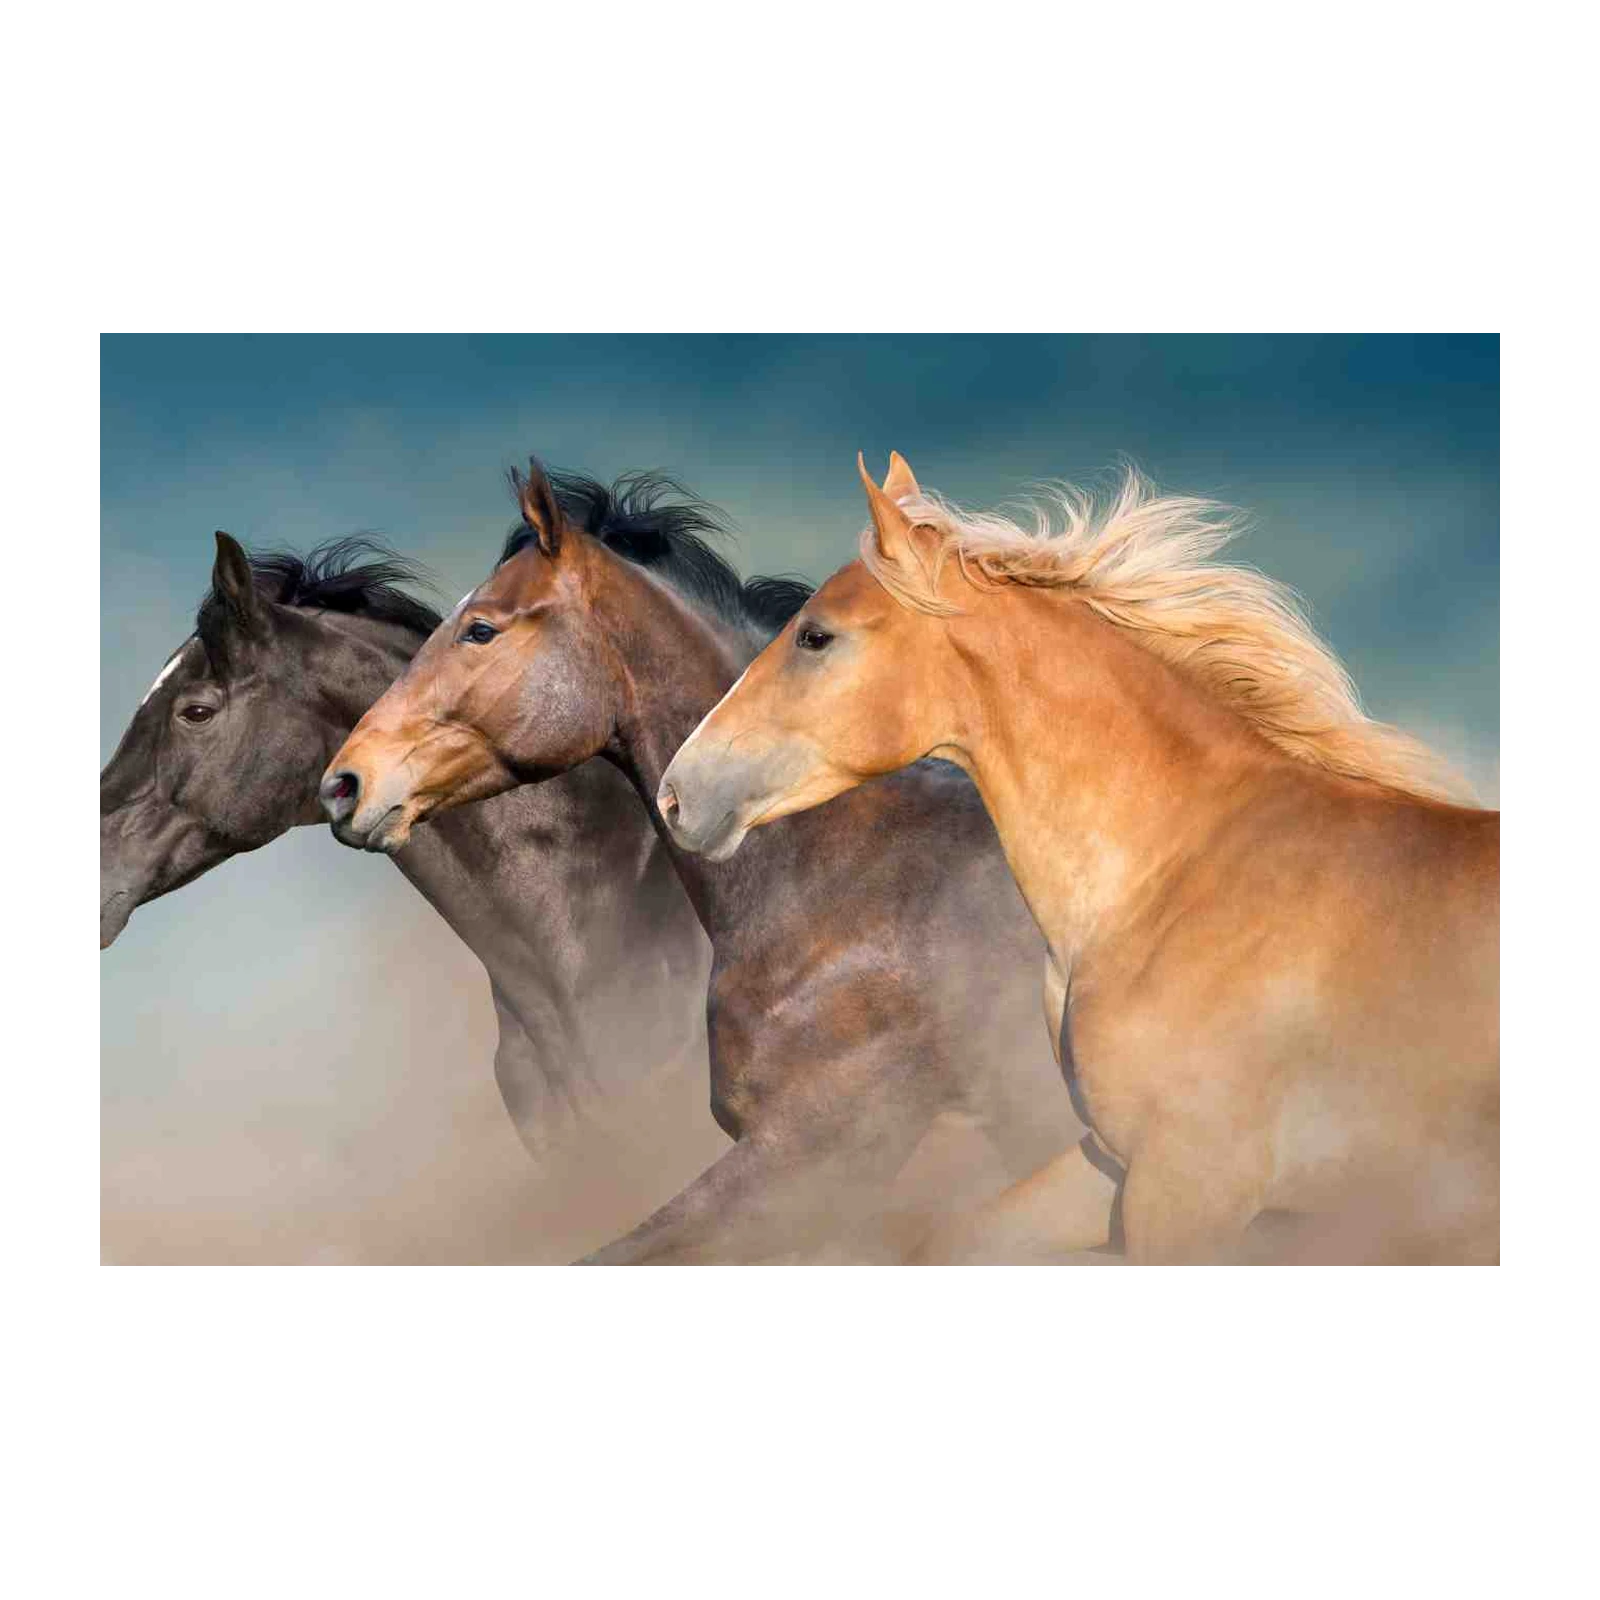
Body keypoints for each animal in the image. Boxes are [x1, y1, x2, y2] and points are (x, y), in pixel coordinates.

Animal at [659, 451, 1502, 1267]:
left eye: (815, 635)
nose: (677, 793)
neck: (1178, 872)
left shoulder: (1192, 1187)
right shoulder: (1109, 1163)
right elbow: (960, 1242)